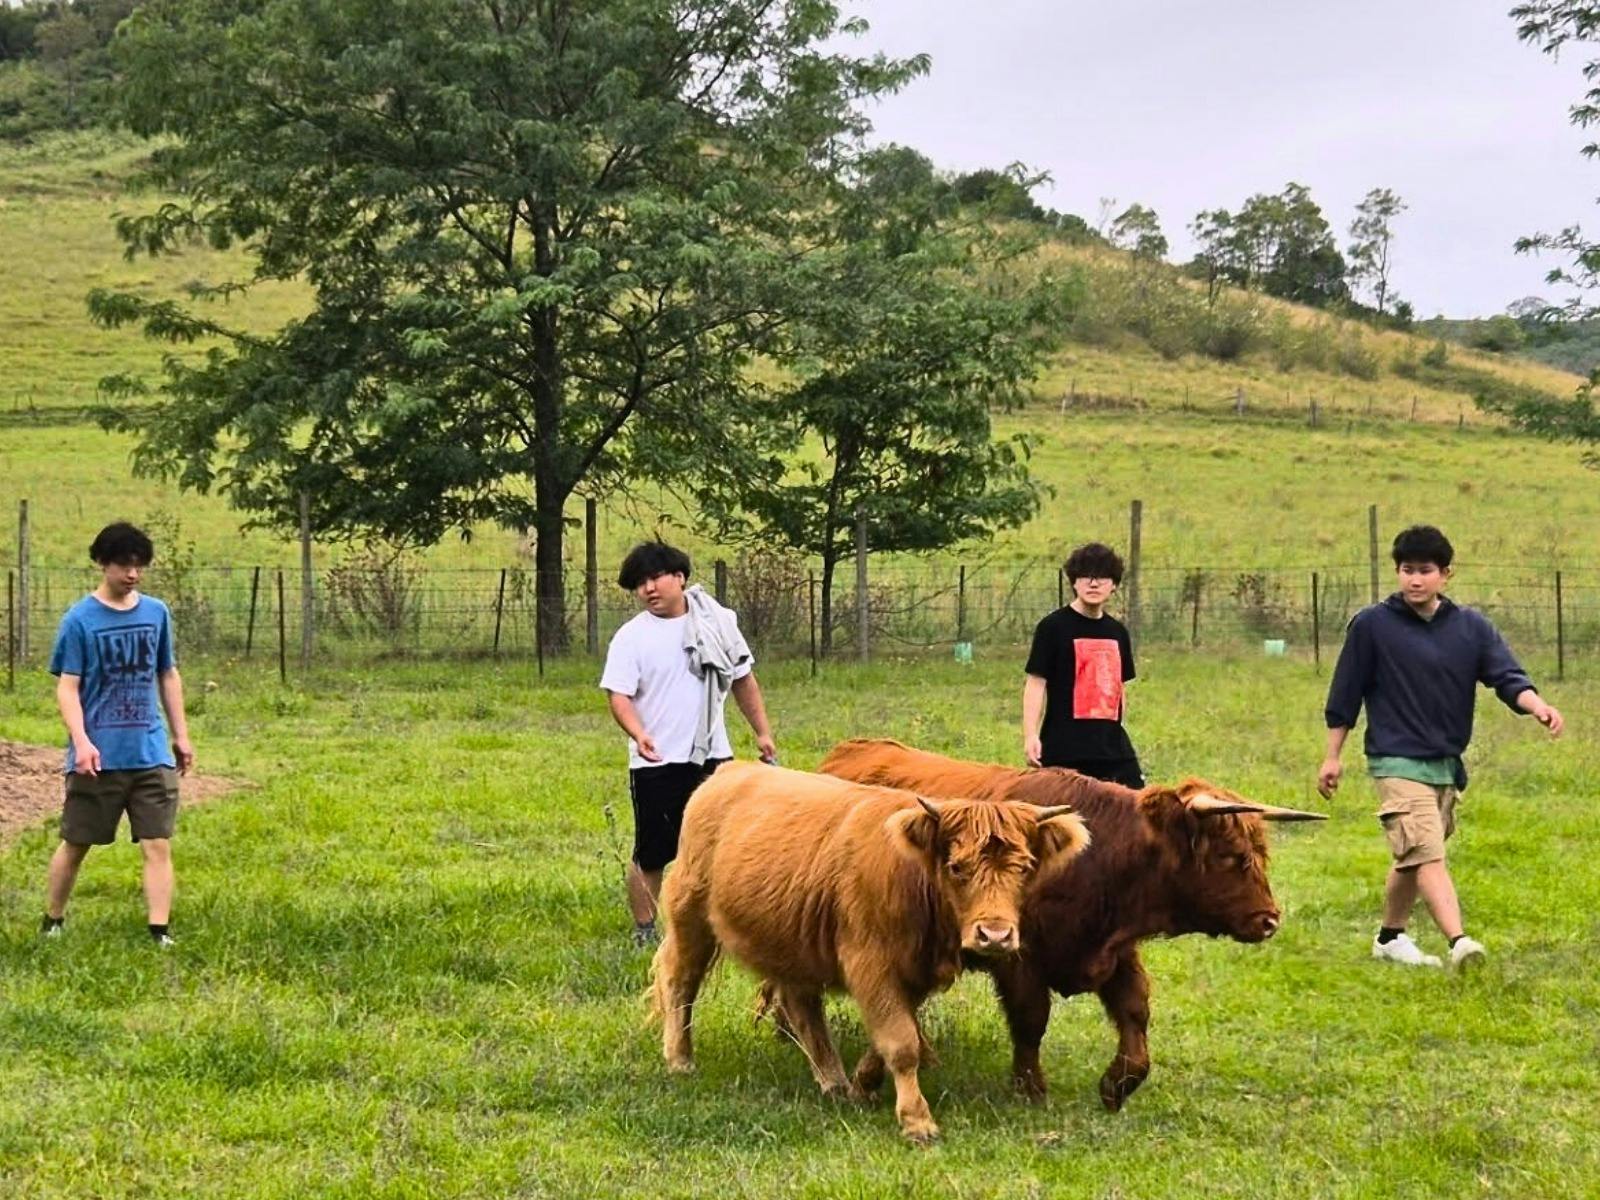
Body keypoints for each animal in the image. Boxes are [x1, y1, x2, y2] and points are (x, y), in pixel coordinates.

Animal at [650, 760, 1089, 1143]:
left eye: (1024, 867)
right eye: (957, 867)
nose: (995, 935)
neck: (914, 880)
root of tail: (727, 772)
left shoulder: (913, 974)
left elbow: (892, 1035)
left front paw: (863, 1085)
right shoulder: (871, 964)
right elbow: (902, 1042)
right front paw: (916, 1120)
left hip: (791, 941)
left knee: (802, 1006)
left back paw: (833, 1081)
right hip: (690, 916)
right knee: (680, 981)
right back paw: (680, 1060)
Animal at [818, 739, 1325, 1112]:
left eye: (1259, 854)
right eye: (1230, 856)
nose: (1268, 920)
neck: (1100, 856)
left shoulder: (1115, 951)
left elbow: (1135, 1012)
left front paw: (1117, 1086)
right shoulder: (1018, 956)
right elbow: (1031, 1019)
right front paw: (1030, 1088)